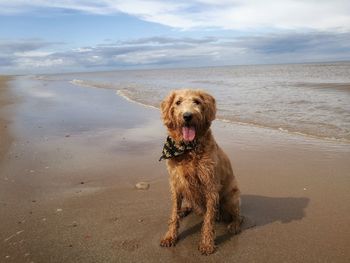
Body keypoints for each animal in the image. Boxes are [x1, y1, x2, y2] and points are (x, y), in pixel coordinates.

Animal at [159, 89, 241, 256]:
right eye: (178, 102)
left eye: (197, 101)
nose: (187, 116)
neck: (187, 149)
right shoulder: (176, 184)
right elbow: (173, 214)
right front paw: (170, 236)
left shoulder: (210, 186)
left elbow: (209, 219)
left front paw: (207, 244)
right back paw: (185, 209)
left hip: (232, 197)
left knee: (239, 217)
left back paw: (234, 225)